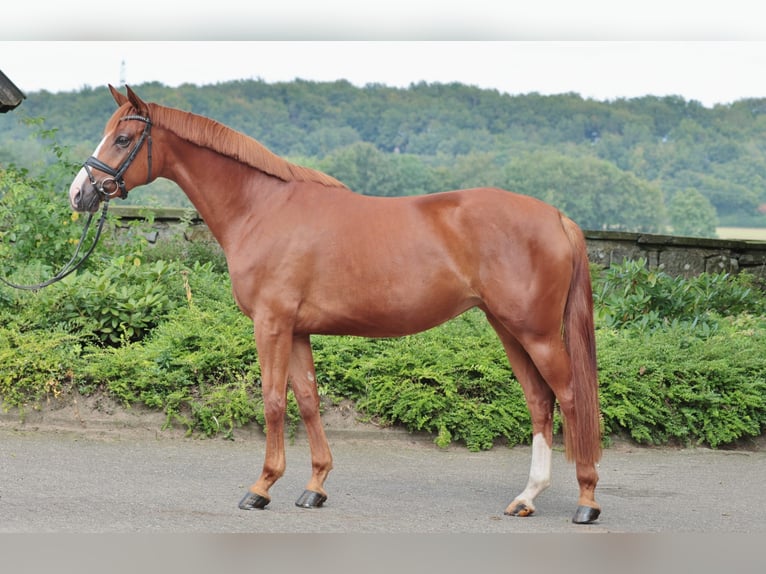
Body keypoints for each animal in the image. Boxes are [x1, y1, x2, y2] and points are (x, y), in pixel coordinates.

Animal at [69, 86, 604, 528]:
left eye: (122, 138)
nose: (80, 193)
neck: (261, 208)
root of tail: (558, 217)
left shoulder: (271, 325)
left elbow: (273, 401)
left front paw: (261, 488)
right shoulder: (298, 330)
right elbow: (308, 399)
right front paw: (314, 487)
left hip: (536, 333)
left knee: (571, 397)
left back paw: (586, 500)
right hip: (508, 328)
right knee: (539, 401)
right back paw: (527, 497)